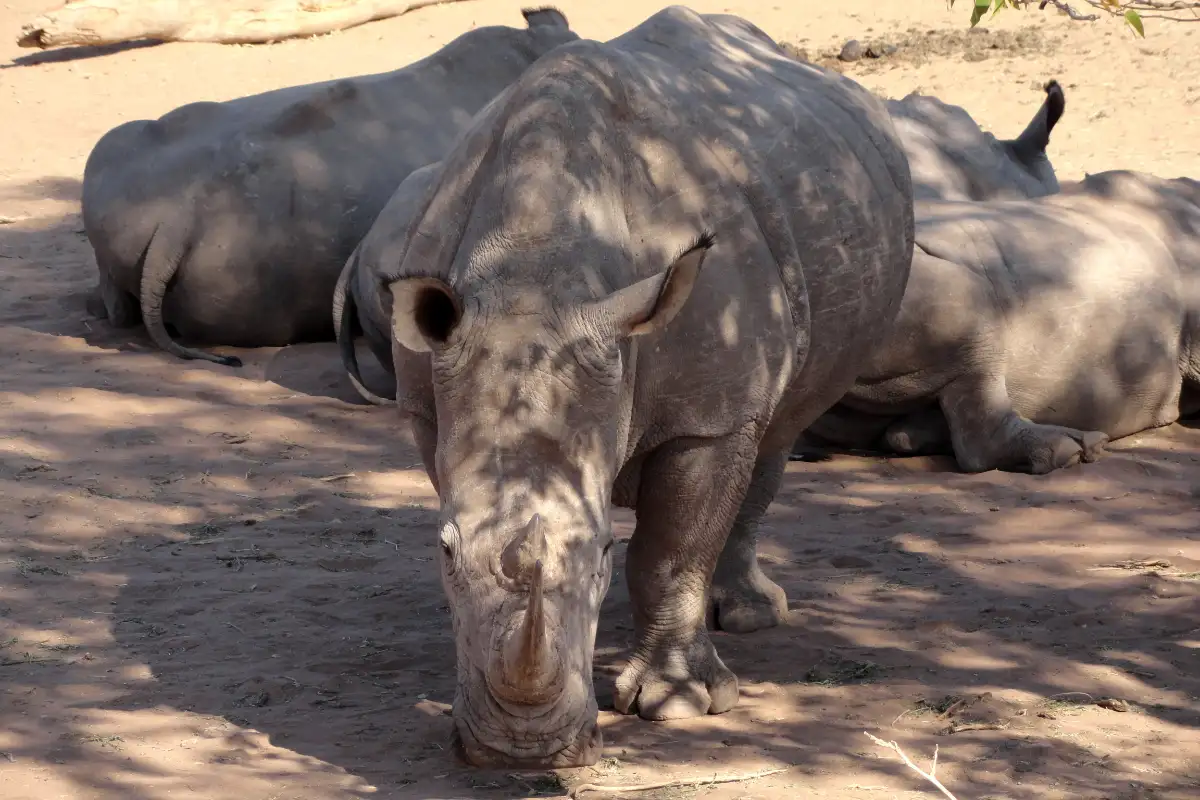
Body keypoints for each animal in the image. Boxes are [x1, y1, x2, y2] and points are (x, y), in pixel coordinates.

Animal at [337, 5, 914, 768]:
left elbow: (672, 549)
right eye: (444, 552)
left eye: (600, 553)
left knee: (776, 432)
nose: (522, 754)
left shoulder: (708, 413)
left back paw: (751, 616)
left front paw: (677, 705)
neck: (534, 273)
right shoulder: (433, 408)